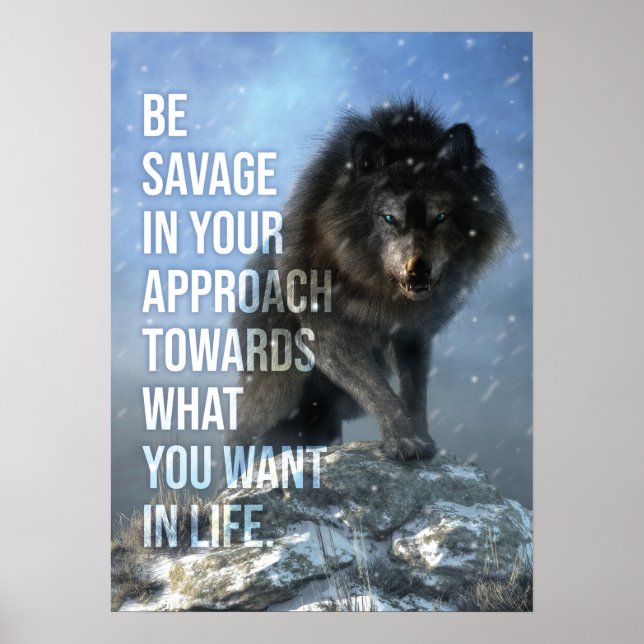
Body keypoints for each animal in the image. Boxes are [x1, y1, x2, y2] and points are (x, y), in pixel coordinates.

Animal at [228, 98, 514, 461]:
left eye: (440, 216)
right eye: (389, 218)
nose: (418, 268)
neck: (374, 288)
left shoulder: (413, 332)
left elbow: (414, 392)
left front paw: (421, 439)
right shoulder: (324, 329)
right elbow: (376, 389)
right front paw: (405, 441)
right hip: (277, 385)